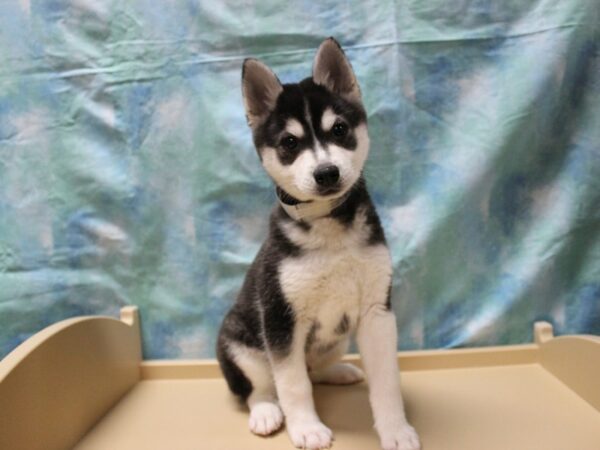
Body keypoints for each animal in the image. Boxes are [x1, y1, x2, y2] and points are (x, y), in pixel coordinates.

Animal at [217, 38, 422, 450]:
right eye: (289, 142)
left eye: (339, 129)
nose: (326, 172)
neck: (330, 229)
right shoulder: (281, 319)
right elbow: (293, 385)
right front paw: (307, 428)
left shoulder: (376, 313)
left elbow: (387, 382)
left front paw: (395, 429)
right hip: (238, 342)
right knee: (260, 388)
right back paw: (266, 411)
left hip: (335, 340)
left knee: (314, 370)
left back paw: (338, 371)